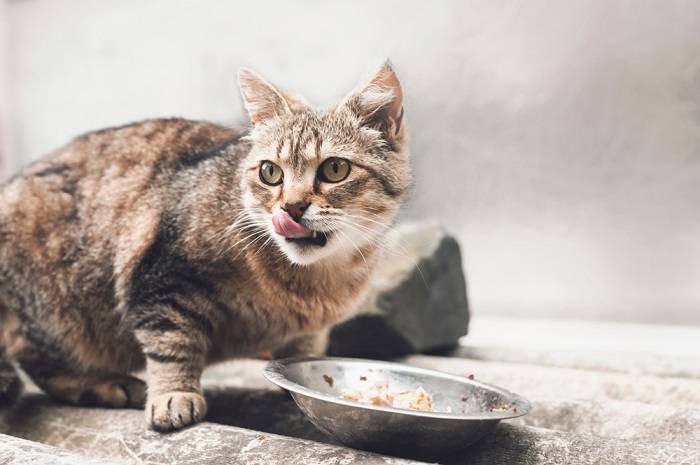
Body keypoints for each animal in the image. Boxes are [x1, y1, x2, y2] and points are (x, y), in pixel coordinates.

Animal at [0, 59, 410, 430]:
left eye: (335, 169)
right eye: (270, 172)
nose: (291, 207)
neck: (312, 282)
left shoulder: (311, 329)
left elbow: (304, 348)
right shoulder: (164, 277)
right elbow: (172, 343)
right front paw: (173, 394)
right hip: (53, 310)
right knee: (35, 357)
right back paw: (101, 383)